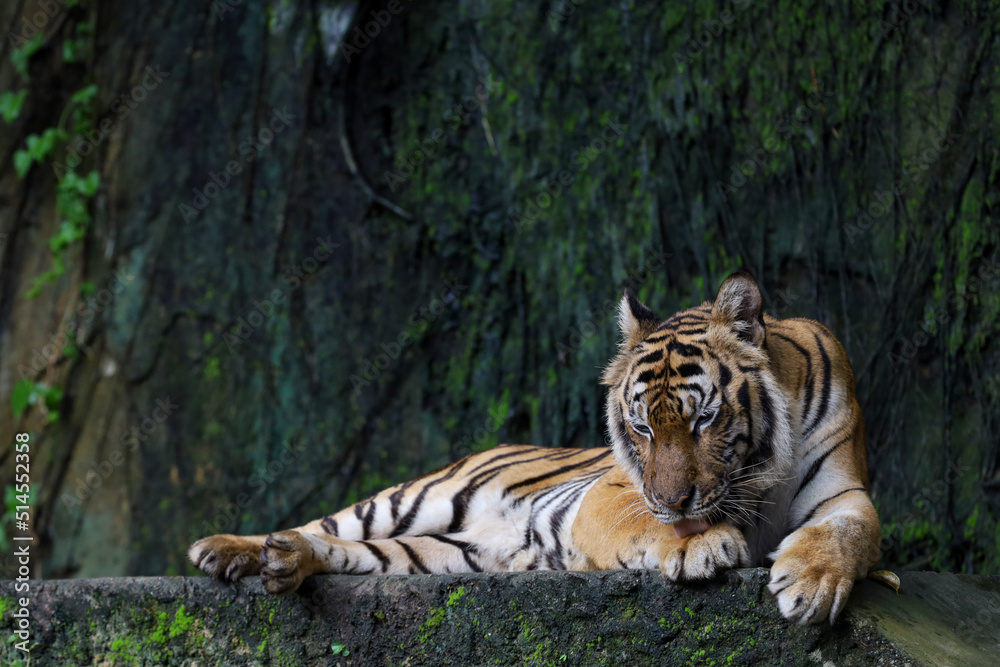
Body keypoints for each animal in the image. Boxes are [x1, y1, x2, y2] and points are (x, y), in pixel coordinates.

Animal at [189, 271, 880, 625]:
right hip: (414, 499)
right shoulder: (612, 494)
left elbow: (849, 532)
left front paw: (812, 583)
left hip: (442, 557)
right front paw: (700, 543)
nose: (672, 500)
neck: (760, 474)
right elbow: (652, 526)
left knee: (350, 553)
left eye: (703, 420)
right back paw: (229, 549)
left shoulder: (843, 490)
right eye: (642, 429)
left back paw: (284, 561)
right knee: (328, 522)